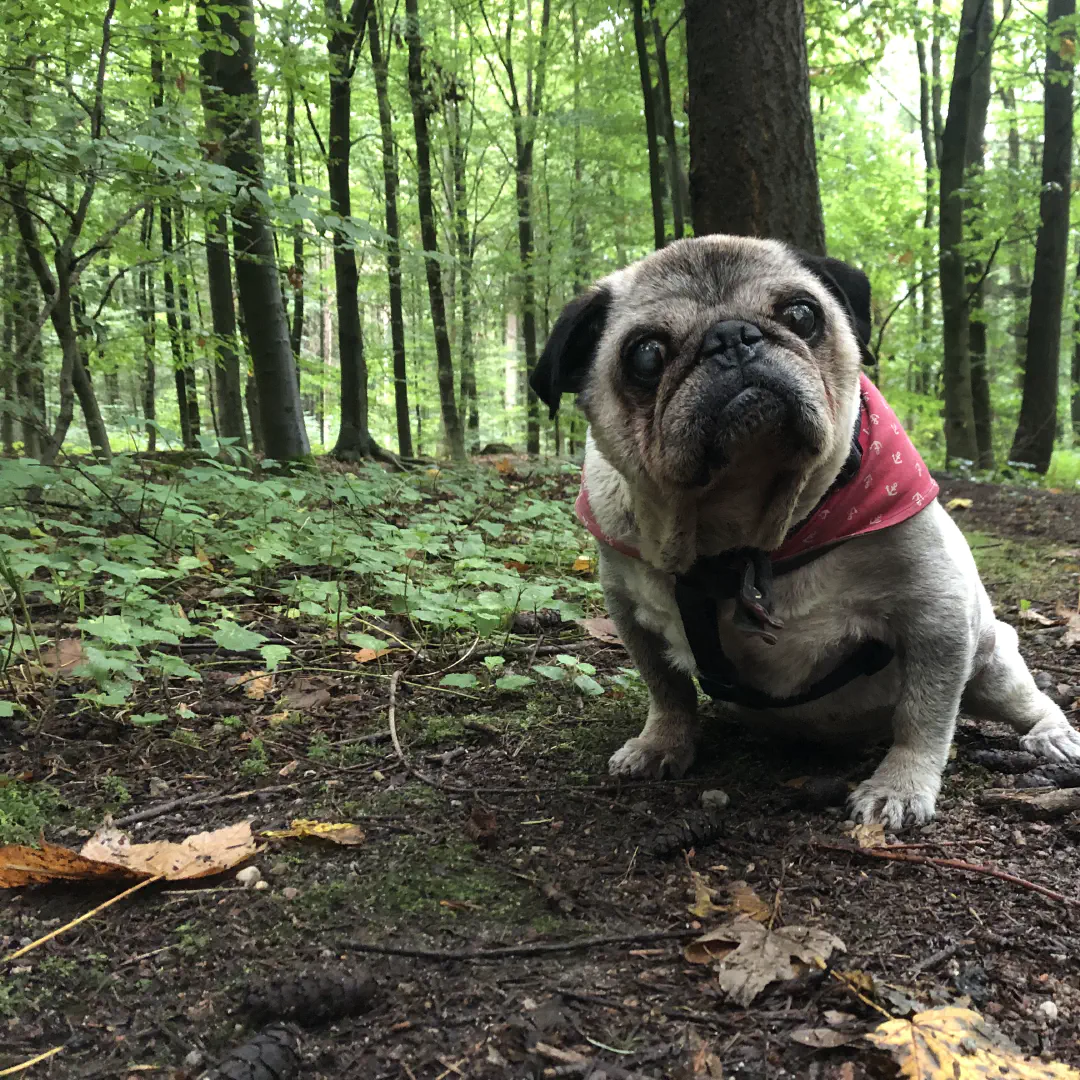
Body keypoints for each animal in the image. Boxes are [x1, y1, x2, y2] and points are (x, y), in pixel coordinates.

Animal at [529, 236, 1080, 825]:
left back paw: (1052, 736)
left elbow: (924, 715)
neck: (747, 537)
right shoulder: (629, 612)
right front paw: (662, 744)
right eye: (646, 355)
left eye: (801, 315)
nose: (731, 335)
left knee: (1024, 700)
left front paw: (901, 786)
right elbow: (667, 688)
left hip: (991, 661)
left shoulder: (938, 616)